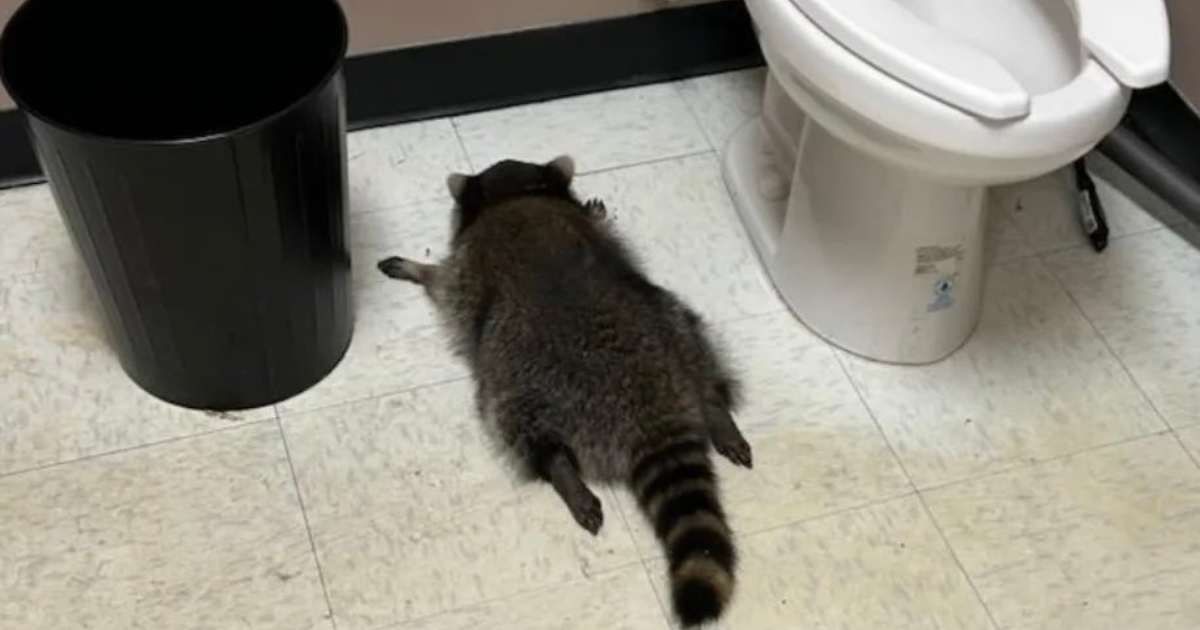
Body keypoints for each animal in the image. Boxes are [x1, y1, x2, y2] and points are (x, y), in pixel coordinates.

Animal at [378, 156, 752, 627]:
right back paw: (716, 409)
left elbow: (443, 281)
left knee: (516, 423)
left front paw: (418, 269)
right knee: (698, 349)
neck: (516, 194)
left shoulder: (466, 268)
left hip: (521, 380)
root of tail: (651, 407)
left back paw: (560, 469)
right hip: (674, 324)